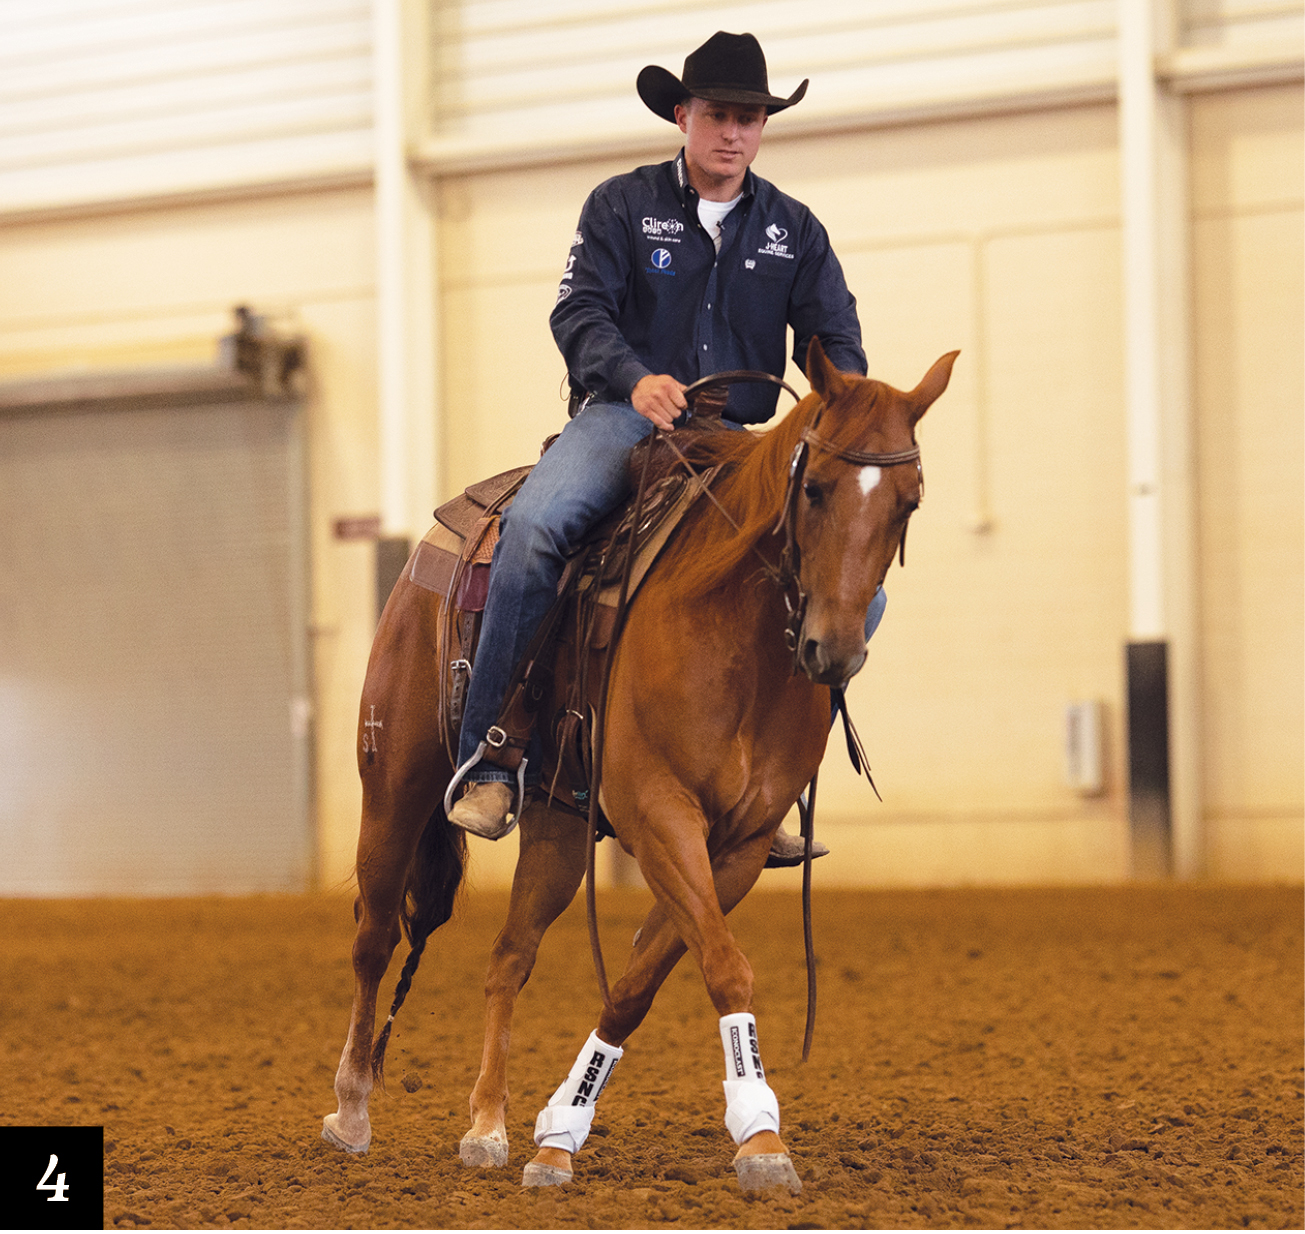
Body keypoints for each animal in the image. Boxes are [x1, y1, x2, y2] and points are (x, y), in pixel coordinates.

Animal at [321, 337, 958, 1192]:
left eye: (907, 503)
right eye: (815, 488)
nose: (832, 649)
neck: (733, 628)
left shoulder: (738, 843)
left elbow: (638, 981)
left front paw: (559, 1132)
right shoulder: (660, 812)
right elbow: (724, 966)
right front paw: (761, 1138)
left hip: (557, 824)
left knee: (508, 956)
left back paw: (486, 1124)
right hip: (393, 784)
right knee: (375, 937)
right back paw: (352, 1108)